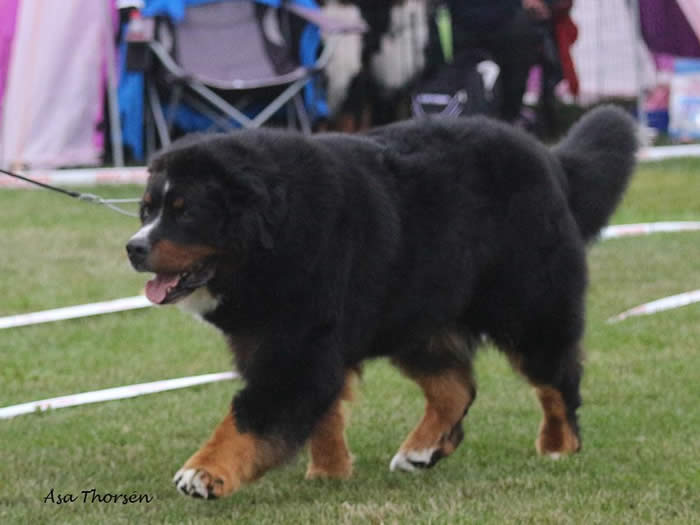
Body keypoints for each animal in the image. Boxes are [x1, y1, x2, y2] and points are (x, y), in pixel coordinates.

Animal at [126, 107, 640, 500]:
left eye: (186, 211)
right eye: (147, 209)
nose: (134, 247)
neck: (277, 232)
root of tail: (549, 159)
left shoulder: (297, 347)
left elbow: (251, 417)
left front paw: (203, 472)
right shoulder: (289, 343)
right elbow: (324, 411)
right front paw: (329, 472)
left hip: (527, 307)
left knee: (556, 379)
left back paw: (558, 444)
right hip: (416, 318)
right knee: (456, 387)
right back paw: (422, 450)